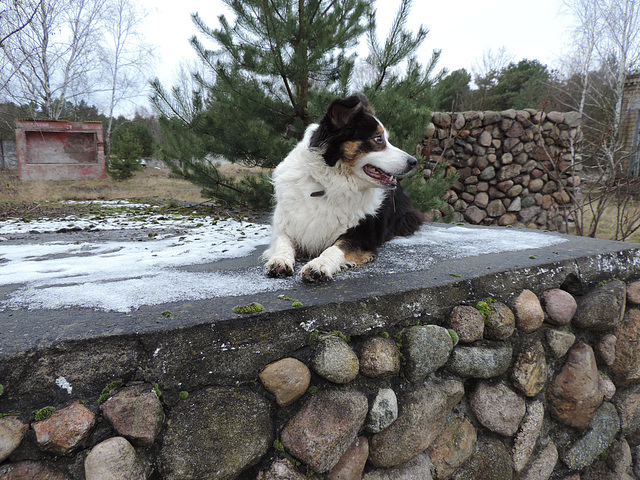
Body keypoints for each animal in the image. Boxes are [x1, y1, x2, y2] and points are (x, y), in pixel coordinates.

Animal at [262, 94, 428, 282]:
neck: (326, 185)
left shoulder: (362, 235)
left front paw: (319, 265)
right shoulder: (285, 225)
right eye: (378, 138)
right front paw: (280, 260)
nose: (414, 161)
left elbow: (336, 248)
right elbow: (283, 243)